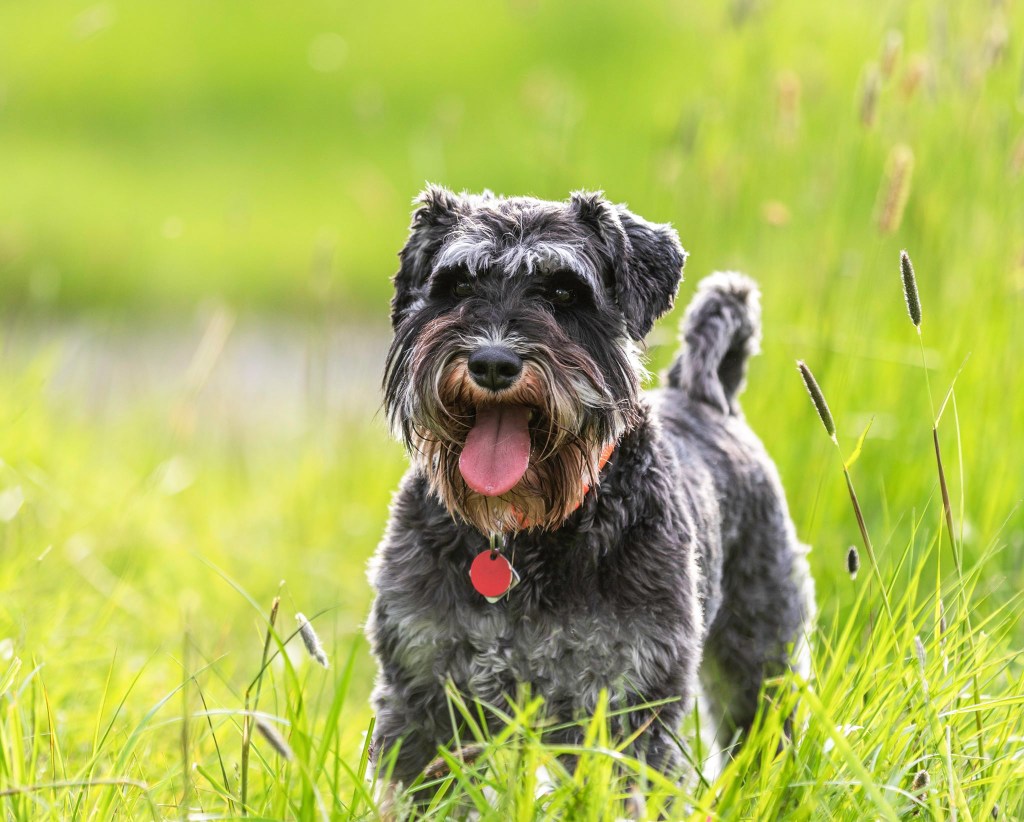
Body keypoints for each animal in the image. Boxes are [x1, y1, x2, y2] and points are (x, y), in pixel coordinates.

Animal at [364, 186, 811, 790]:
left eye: (563, 291)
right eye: (456, 285)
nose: (492, 362)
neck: (520, 537)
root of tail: (707, 397)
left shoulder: (628, 697)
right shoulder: (425, 690)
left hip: (760, 658)